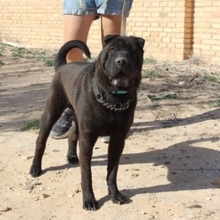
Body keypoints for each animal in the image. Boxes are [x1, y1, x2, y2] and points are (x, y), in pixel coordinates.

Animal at [29, 35, 146, 211]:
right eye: (112, 49)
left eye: (132, 50)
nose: (121, 61)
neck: (114, 99)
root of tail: (63, 66)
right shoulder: (87, 140)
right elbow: (87, 174)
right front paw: (89, 199)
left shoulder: (118, 140)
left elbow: (112, 172)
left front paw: (115, 194)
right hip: (51, 112)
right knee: (40, 141)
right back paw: (36, 168)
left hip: (77, 118)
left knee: (72, 133)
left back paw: (71, 156)